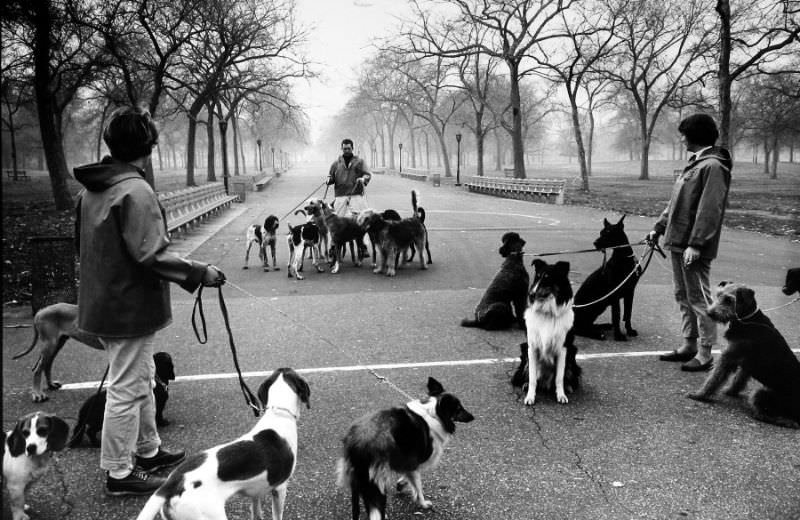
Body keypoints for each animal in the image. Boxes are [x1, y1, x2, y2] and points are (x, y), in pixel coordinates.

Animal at [136, 368, 310, 520]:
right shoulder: (280, 488)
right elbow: (277, 514)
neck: (279, 414)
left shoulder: (256, 491)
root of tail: (173, 482)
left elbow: (256, 510)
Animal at [338, 378, 476, 520]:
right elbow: (418, 487)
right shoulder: (414, 461)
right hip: (377, 481)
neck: (434, 414)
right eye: (458, 408)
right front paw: (423, 504)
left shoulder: (407, 461)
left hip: (357, 481)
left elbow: (408, 474)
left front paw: (401, 484)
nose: (473, 417)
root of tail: (356, 444)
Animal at [524, 260, 576, 406]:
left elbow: (559, 377)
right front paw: (530, 396)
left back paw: (568, 387)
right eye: (537, 277)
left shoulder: (563, 349)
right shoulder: (532, 348)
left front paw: (561, 395)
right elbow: (532, 377)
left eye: (547, 278)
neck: (547, 313)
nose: (530, 295)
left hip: (572, 354)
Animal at [688, 282, 800, 428]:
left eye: (729, 300)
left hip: (761, 392)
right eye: (718, 295)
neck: (747, 320)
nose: (709, 313)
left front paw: (699, 395)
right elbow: (738, 380)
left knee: (770, 416)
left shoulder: (728, 357)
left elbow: (713, 379)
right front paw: (730, 391)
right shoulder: (745, 364)